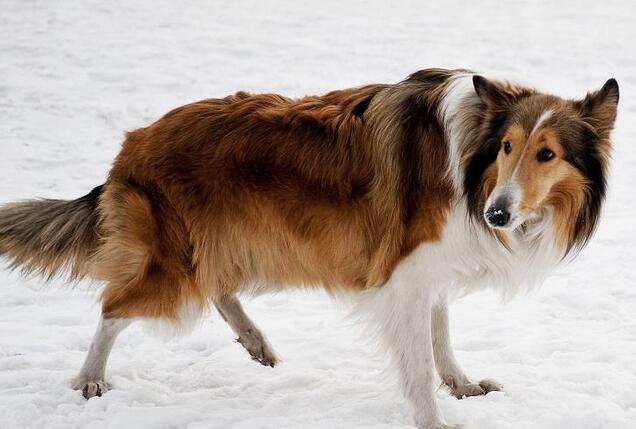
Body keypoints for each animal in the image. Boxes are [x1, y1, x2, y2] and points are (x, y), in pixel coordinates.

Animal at [0, 68, 616, 426]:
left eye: (547, 153)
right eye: (508, 147)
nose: (497, 215)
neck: (470, 163)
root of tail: (132, 144)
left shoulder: (429, 270)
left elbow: (441, 338)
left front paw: (462, 387)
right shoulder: (406, 276)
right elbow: (419, 362)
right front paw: (436, 421)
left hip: (236, 244)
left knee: (217, 288)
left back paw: (256, 343)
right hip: (176, 264)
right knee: (113, 307)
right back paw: (90, 380)